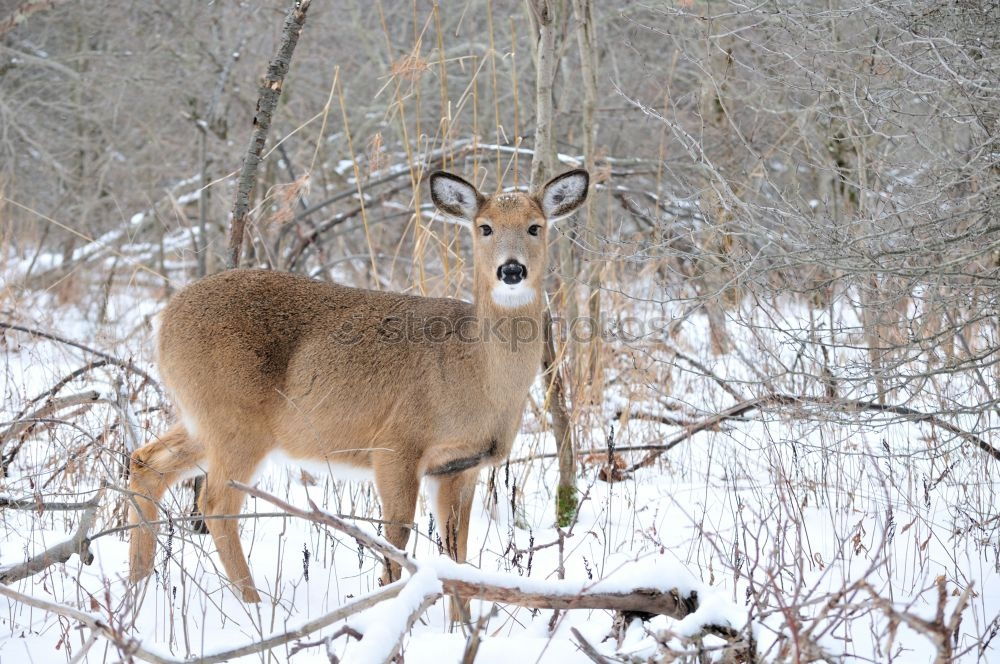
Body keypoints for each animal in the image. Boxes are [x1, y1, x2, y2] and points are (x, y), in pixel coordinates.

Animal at [129, 169, 588, 604]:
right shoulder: (395, 444)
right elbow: (397, 540)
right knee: (215, 505)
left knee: (147, 463)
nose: (511, 270)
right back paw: (254, 604)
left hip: (201, 418)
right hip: (235, 421)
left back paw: (137, 584)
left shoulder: (462, 466)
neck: (477, 373)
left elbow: (457, 556)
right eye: (485, 227)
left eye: (535, 226)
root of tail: (164, 321)